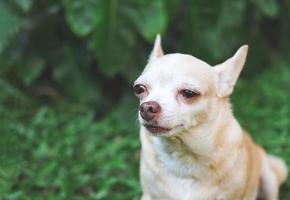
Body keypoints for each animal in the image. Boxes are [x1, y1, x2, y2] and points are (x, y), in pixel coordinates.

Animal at [134, 35, 288, 199]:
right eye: (139, 89)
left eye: (189, 93)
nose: (147, 107)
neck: (184, 157)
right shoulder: (149, 195)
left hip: (269, 177)